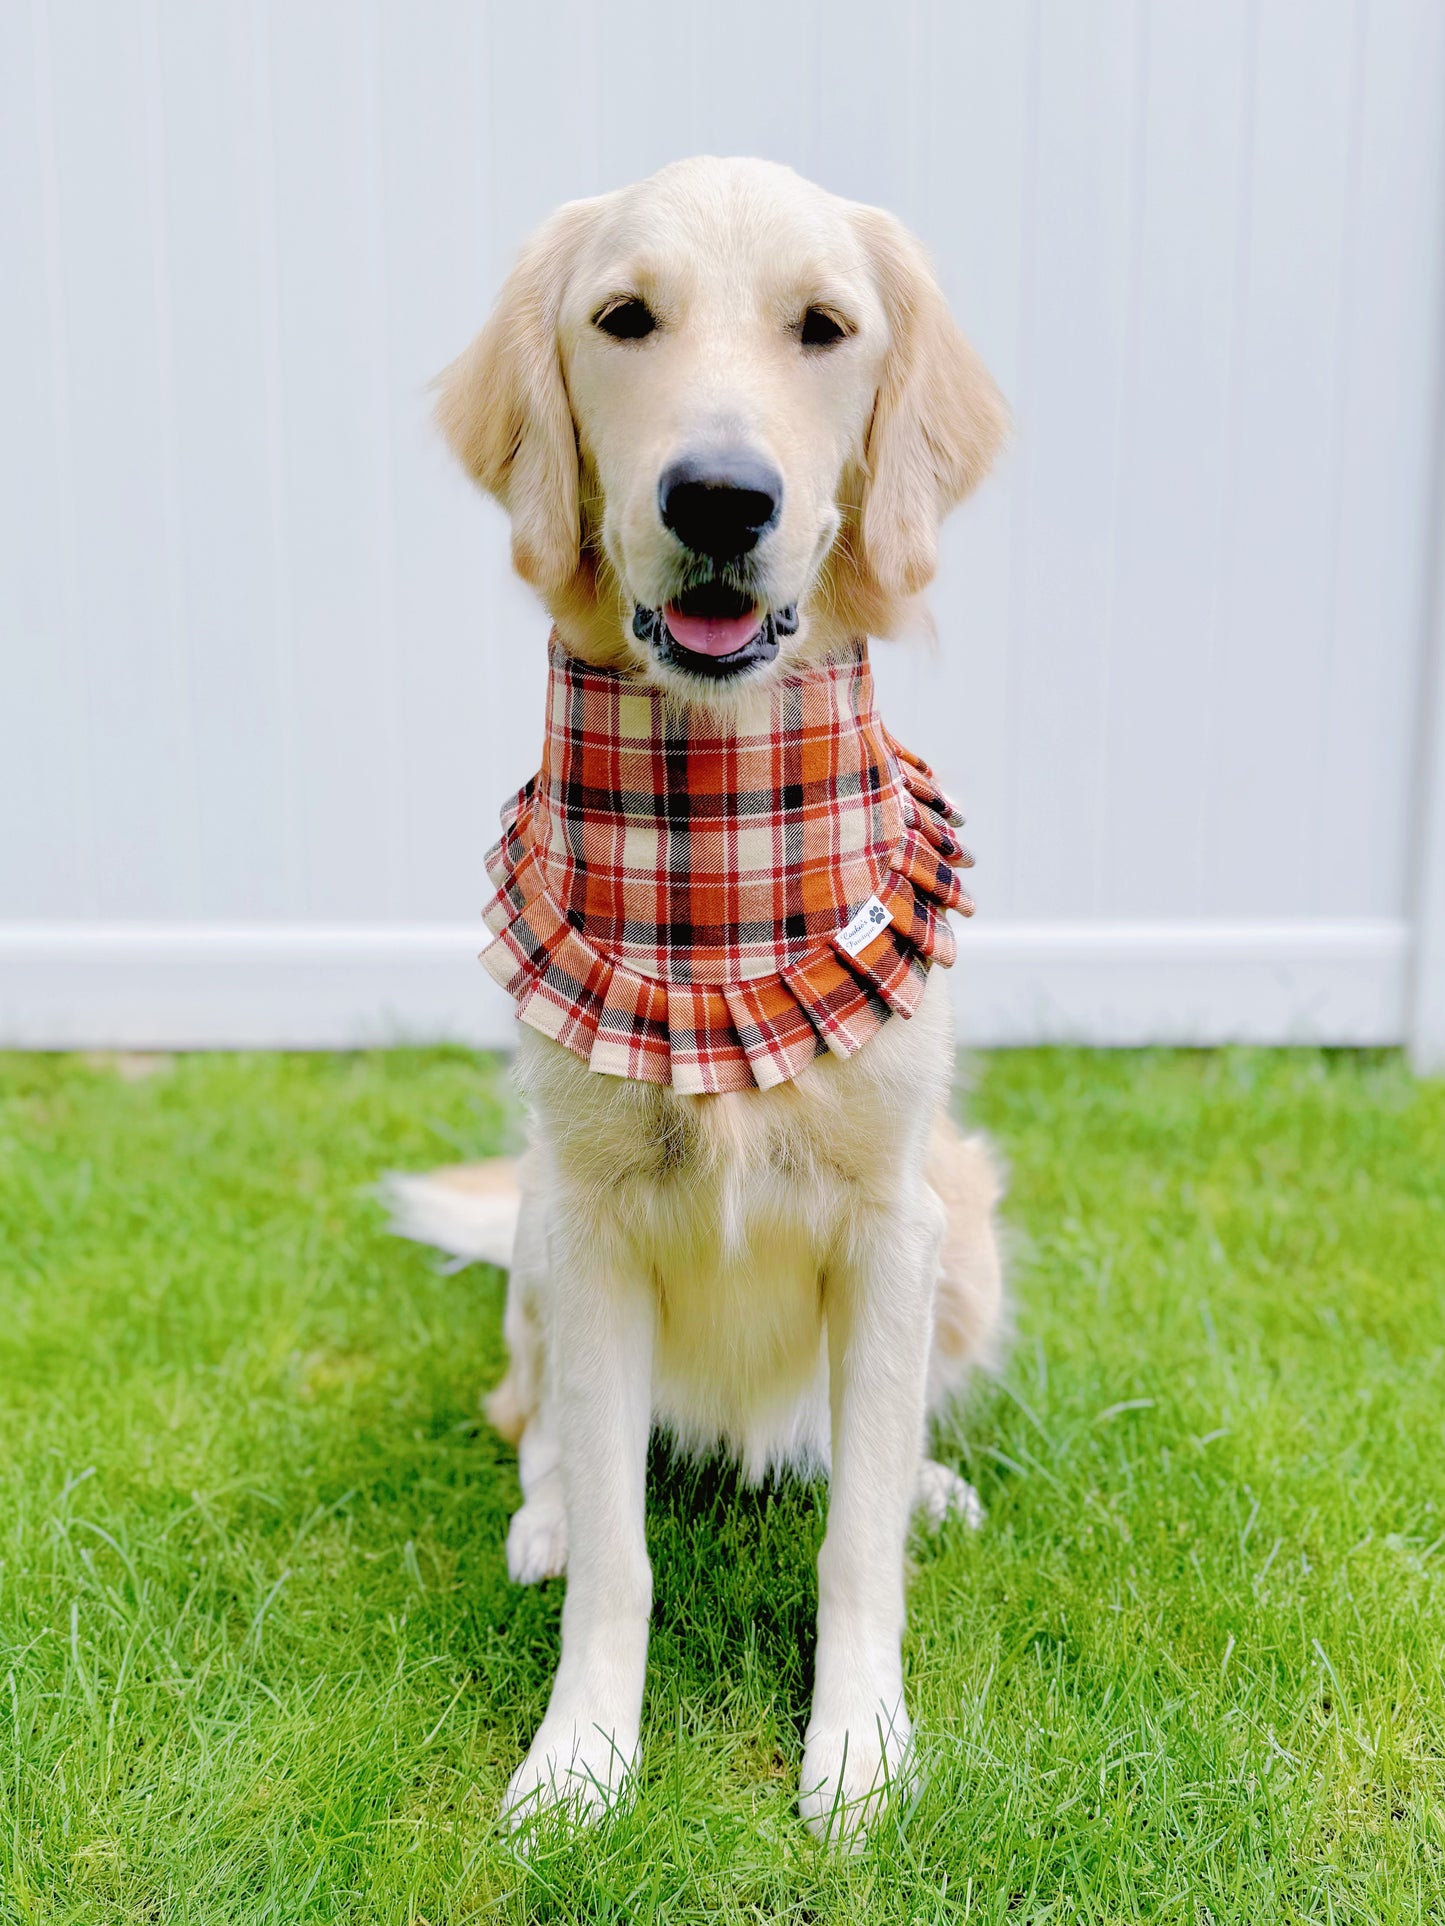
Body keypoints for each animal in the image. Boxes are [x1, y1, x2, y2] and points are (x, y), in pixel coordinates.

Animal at [391, 157, 1009, 1841]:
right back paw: (539, 1512)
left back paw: (930, 1481)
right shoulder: (595, 1226)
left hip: (971, 1227)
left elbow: (856, 1539)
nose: (720, 499)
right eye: (624, 318)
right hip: (538, 1232)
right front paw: (577, 1761)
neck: (717, 839)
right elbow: (619, 1555)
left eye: (824, 327)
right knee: (534, 1418)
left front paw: (861, 1750)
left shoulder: (892, 1219)